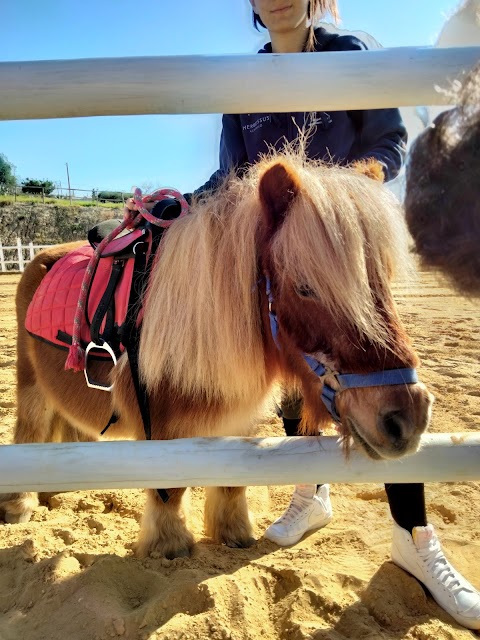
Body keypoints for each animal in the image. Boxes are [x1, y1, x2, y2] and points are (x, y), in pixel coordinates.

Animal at [0, 155, 434, 560]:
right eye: (305, 287)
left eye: (384, 279)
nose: (405, 416)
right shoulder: (161, 427)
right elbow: (171, 490)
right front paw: (170, 546)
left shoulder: (236, 418)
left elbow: (231, 480)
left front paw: (233, 534)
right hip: (31, 384)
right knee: (29, 431)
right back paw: (20, 504)